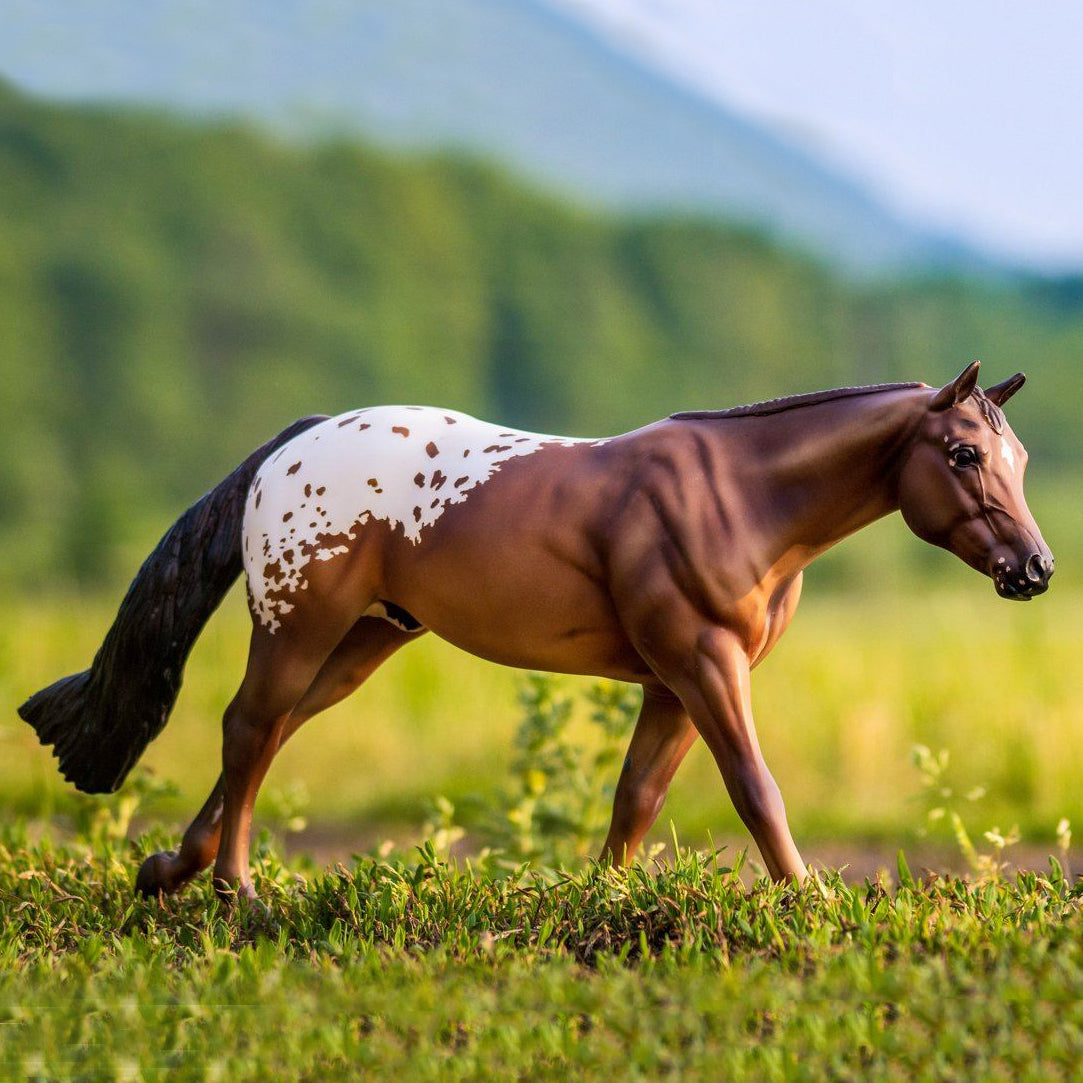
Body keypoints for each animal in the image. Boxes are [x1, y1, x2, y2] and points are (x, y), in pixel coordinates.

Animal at [16, 359, 1048, 901]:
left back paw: (169, 869)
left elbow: (635, 800)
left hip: (363, 640)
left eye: (1020, 459)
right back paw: (239, 892)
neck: (736, 496)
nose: (1032, 569)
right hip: (297, 621)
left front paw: (607, 902)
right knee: (248, 726)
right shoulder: (704, 664)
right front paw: (806, 902)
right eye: (962, 453)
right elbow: (756, 789)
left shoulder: (674, 681)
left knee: (274, 729)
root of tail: (296, 441)